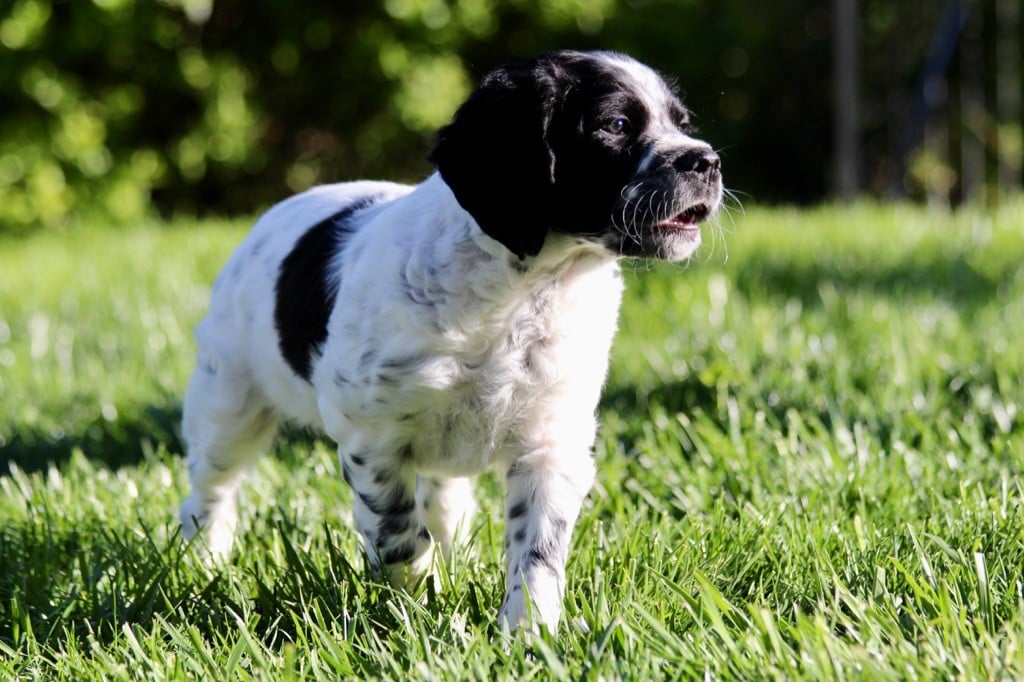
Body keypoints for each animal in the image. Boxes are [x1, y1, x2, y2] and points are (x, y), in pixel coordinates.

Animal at [179, 50, 722, 632]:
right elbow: (396, 531)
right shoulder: (372, 432)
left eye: (682, 123)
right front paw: (418, 597)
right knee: (210, 489)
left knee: (443, 497)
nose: (706, 161)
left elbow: (537, 548)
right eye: (616, 125)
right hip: (230, 400)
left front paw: (530, 632)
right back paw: (204, 560)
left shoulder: (551, 440)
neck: (530, 288)